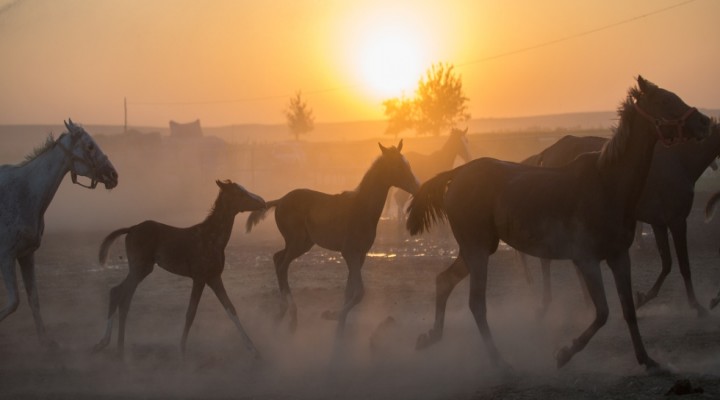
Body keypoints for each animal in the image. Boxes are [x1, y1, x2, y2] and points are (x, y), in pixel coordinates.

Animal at [0, 119, 118, 346]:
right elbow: (14, 303)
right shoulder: (6, 257)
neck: (24, 192)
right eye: (90, 146)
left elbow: (33, 300)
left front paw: (46, 343)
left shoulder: (26, 255)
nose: (114, 175)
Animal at [93, 180, 266, 358]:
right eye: (239, 193)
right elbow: (191, 313)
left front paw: (253, 349)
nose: (262, 202)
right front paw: (182, 350)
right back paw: (111, 346)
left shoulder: (214, 277)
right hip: (140, 268)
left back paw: (113, 346)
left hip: (140, 270)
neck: (212, 239)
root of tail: (131, 228)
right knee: (120, 295)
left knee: (120, 295)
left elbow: (230, 308)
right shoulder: (199, 278)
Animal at [246, 141, 420, 334]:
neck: (362, 207)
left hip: (302, 243)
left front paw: (339, 325)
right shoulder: (349, 253)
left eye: (407, 164)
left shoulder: (361, 255)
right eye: (397, 166)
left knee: (277, 258)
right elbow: (359, 293)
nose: (417, 187)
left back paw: (281, 312)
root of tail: (280, 200)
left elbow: (349, 291)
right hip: (297, 242)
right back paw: (291, 315)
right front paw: (332, 315)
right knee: (283, 265)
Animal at [408, 76, 712, 372]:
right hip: (478, 250)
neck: (608, 183)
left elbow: (628, 310)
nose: (704, 122)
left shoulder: (618, 256)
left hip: (476, 249)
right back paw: (499, 361)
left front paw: (647, 359)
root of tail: (458, 173)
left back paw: (429, 338)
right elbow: (603, 312)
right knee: (476, 304)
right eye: (664, 100)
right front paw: (565, 353)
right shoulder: (586, 259)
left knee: (444, 281)